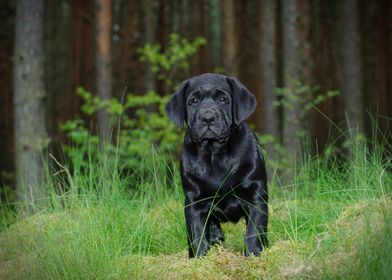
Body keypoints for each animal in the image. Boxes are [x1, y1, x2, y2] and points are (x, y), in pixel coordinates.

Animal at [165, 72, 270, 258]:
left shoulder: (255, 194)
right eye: (194, 101)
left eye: (223, 99)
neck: (214, 152)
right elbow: (196, 233)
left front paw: (253, 254)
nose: (208, 118)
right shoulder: (194, 201)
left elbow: (254, 230)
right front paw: (199, 258)